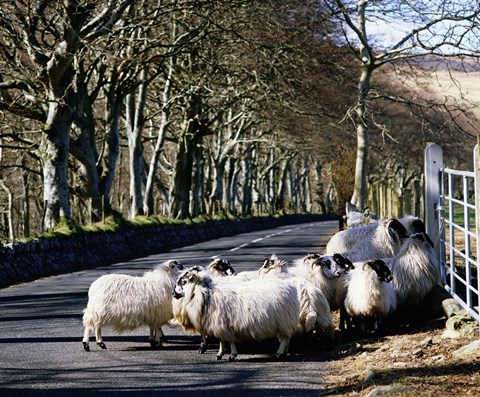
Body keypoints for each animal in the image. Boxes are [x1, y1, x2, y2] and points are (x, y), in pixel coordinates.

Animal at [172, 266, 300, 358]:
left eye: (184, 282)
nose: (173, 294)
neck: (205, 293)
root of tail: (290, 287)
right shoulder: (219, 323)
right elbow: (222, 340)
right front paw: (220, 353)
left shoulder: (223, 323)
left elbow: (228, 340)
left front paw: (231, 355)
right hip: (284, 321)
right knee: (287, 337)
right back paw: (285, 351)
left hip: (283, 320)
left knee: (285, 338)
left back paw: (279, 353)